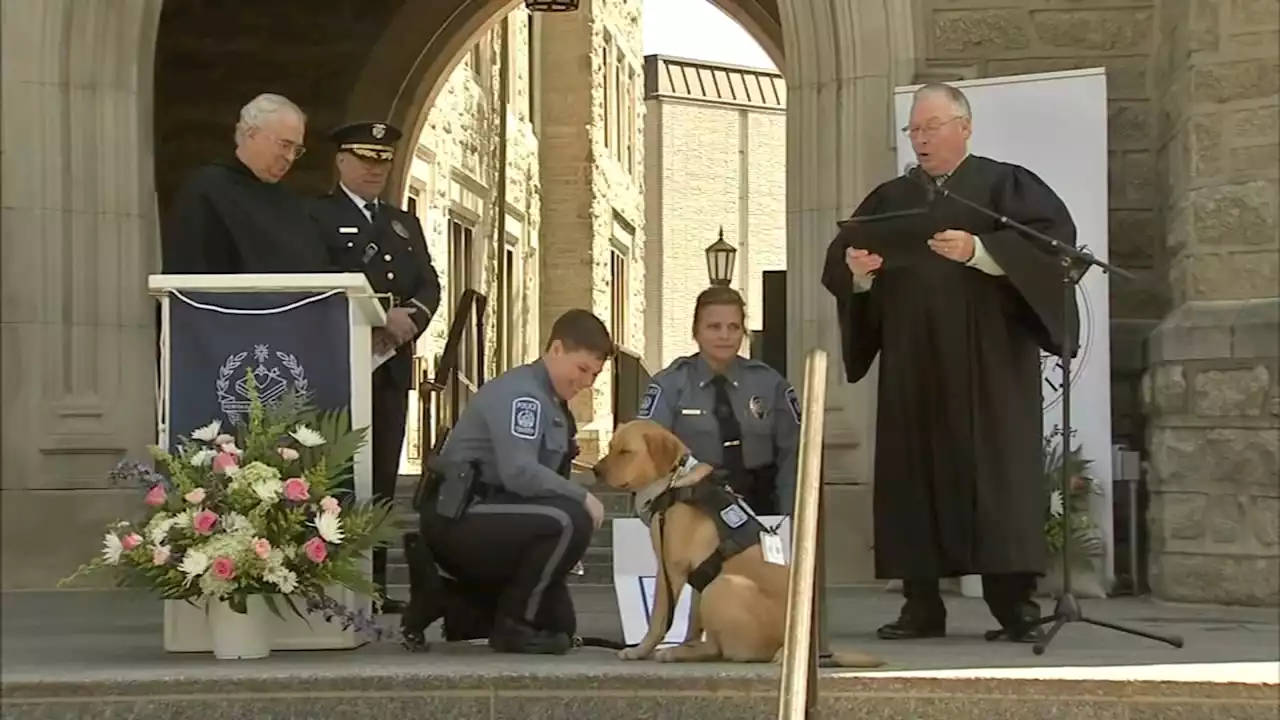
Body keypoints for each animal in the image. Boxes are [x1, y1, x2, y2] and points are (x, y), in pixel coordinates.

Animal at [591, 417, 880, 666]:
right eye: (610, 447)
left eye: (626, 452)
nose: (595, 471)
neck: (674, 483)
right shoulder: (698, 576)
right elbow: (692, 622)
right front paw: (685, 643)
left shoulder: (670, 569)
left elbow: (659, 618)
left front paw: (640, 650)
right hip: (711, 587)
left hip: (721, 585)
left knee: (720, 650)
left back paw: (673, 653)